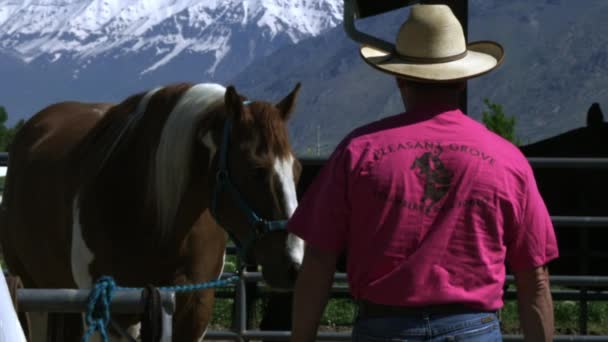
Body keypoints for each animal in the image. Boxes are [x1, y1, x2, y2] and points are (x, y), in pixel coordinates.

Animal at [0, 81, 304, 340]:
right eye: (256, 170)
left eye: (298, 169)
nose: (293, 265)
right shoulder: (108, 309)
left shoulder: (195, 307)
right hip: (37, 292)